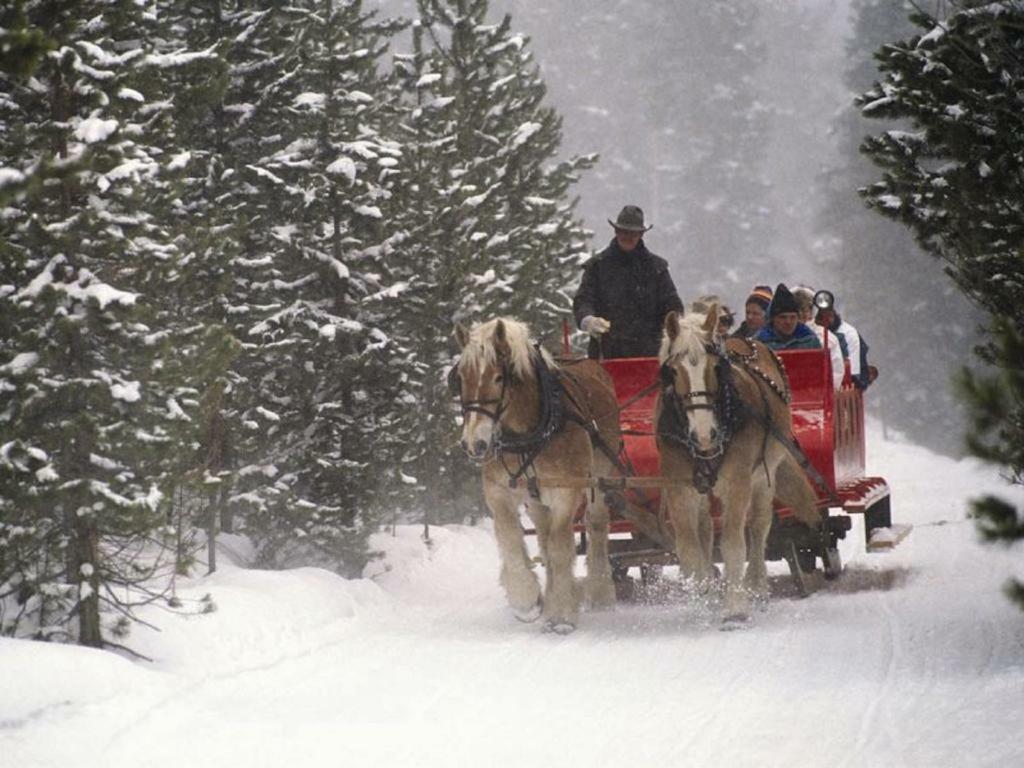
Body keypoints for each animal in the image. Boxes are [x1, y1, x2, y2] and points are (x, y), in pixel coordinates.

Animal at [458, 315, 622, 634]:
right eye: (460, 377)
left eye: (498, 378)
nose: (474, 444)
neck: (531, 432)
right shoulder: (498, 491)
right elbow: (511, 537)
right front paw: (527, 599)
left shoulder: (566, 490)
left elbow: (561, 547)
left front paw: (562, 614)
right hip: (535, 498)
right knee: (544, 541)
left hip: (598, 479)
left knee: (596, 525)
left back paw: (599, 590)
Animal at [655, 303, 823, 622]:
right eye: (672, 371)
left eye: (715, 368)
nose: (704, 434)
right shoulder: (678, 487)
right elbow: (688, 547)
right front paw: (702, 598)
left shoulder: (737, 482)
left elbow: (733, 543)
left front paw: (735, 607)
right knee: (707, 530)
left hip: (764, 474)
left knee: (758, 527)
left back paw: (756, 587)